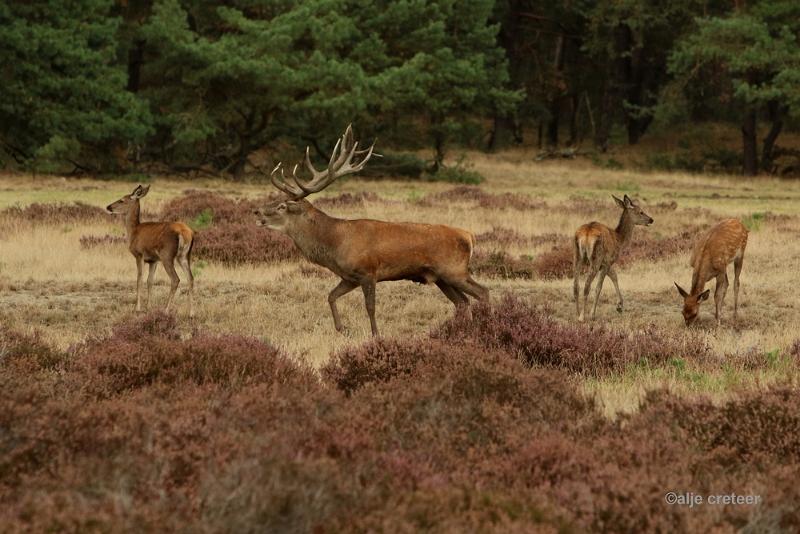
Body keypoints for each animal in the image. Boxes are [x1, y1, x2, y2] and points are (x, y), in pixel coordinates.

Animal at [106, 185, 195, 316]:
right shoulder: (153, 260)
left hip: (167, 255)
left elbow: (139, 279)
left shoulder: (139, 255)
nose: (108, 207)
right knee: (190, 278)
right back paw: (192, 312)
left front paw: (137, 308)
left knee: (175, 279)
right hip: (184, 256)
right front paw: (149, 307)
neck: (134, 232)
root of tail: (186, 233)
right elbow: (150, 281)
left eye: (122, 200)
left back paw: (166, 310)